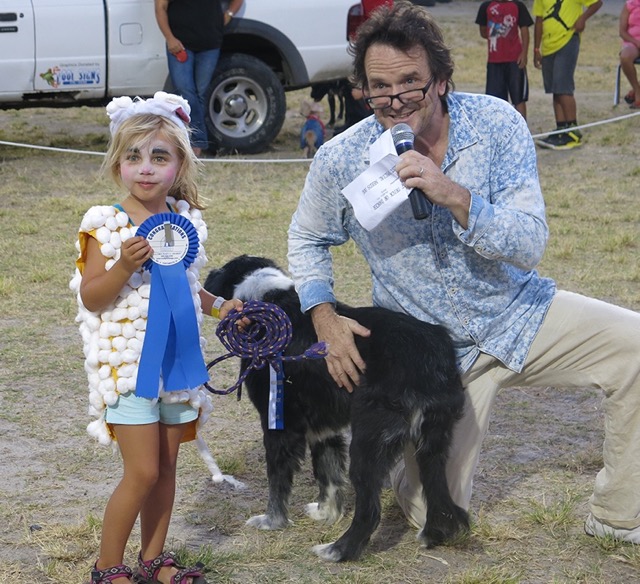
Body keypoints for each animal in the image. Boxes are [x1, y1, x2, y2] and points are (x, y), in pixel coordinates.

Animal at [205, 256, 470, 560]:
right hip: (432, 443)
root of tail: (429, 355)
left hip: (369, 444)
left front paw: (272, 521)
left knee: (370, 511)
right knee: (439, 495)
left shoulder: (279, 426)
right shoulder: (324, 428)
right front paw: (325, 514)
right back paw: (434, 535)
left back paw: (338, 550)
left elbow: (278, 480)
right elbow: (328, 475)